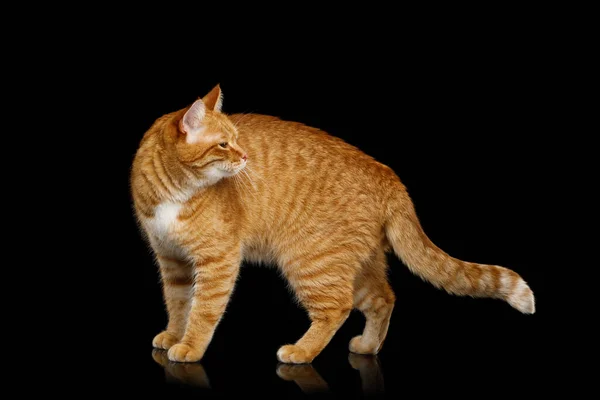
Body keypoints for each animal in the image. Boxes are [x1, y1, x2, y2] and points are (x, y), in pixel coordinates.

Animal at [131, 85, 536, 366]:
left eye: (237, 141)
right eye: (223, 145)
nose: (245, 157)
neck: (176, 191)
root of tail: (388, 175)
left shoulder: (218, 260)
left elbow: (203, 309)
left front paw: (190, 346)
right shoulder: (172, 260)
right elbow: (178, 302)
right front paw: (173, 335)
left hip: (310, 262)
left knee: (337, 308)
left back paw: (302, 351)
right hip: (354, 264)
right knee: (383, 299)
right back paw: (368, 346)